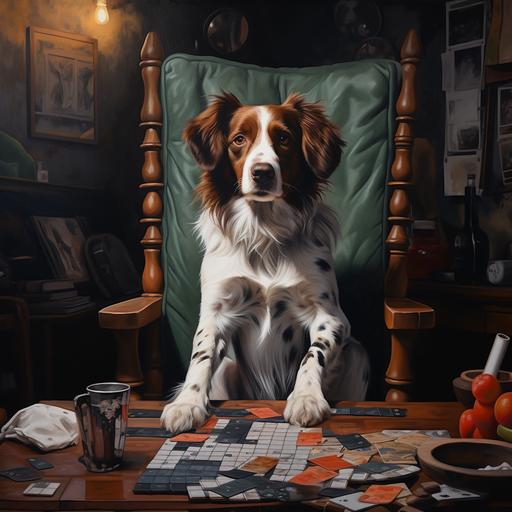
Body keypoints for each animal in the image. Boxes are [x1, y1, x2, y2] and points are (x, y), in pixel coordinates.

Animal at [162, 92, 370, 432]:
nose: (262, 172)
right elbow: (201, 355)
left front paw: (306, 398)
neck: (264, 233)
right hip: (227, 370)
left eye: (284, 138)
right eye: (238, 139)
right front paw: (187, 403)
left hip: (357, 354)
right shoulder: (216, 312)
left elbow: (312, 355)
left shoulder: (330, 316)